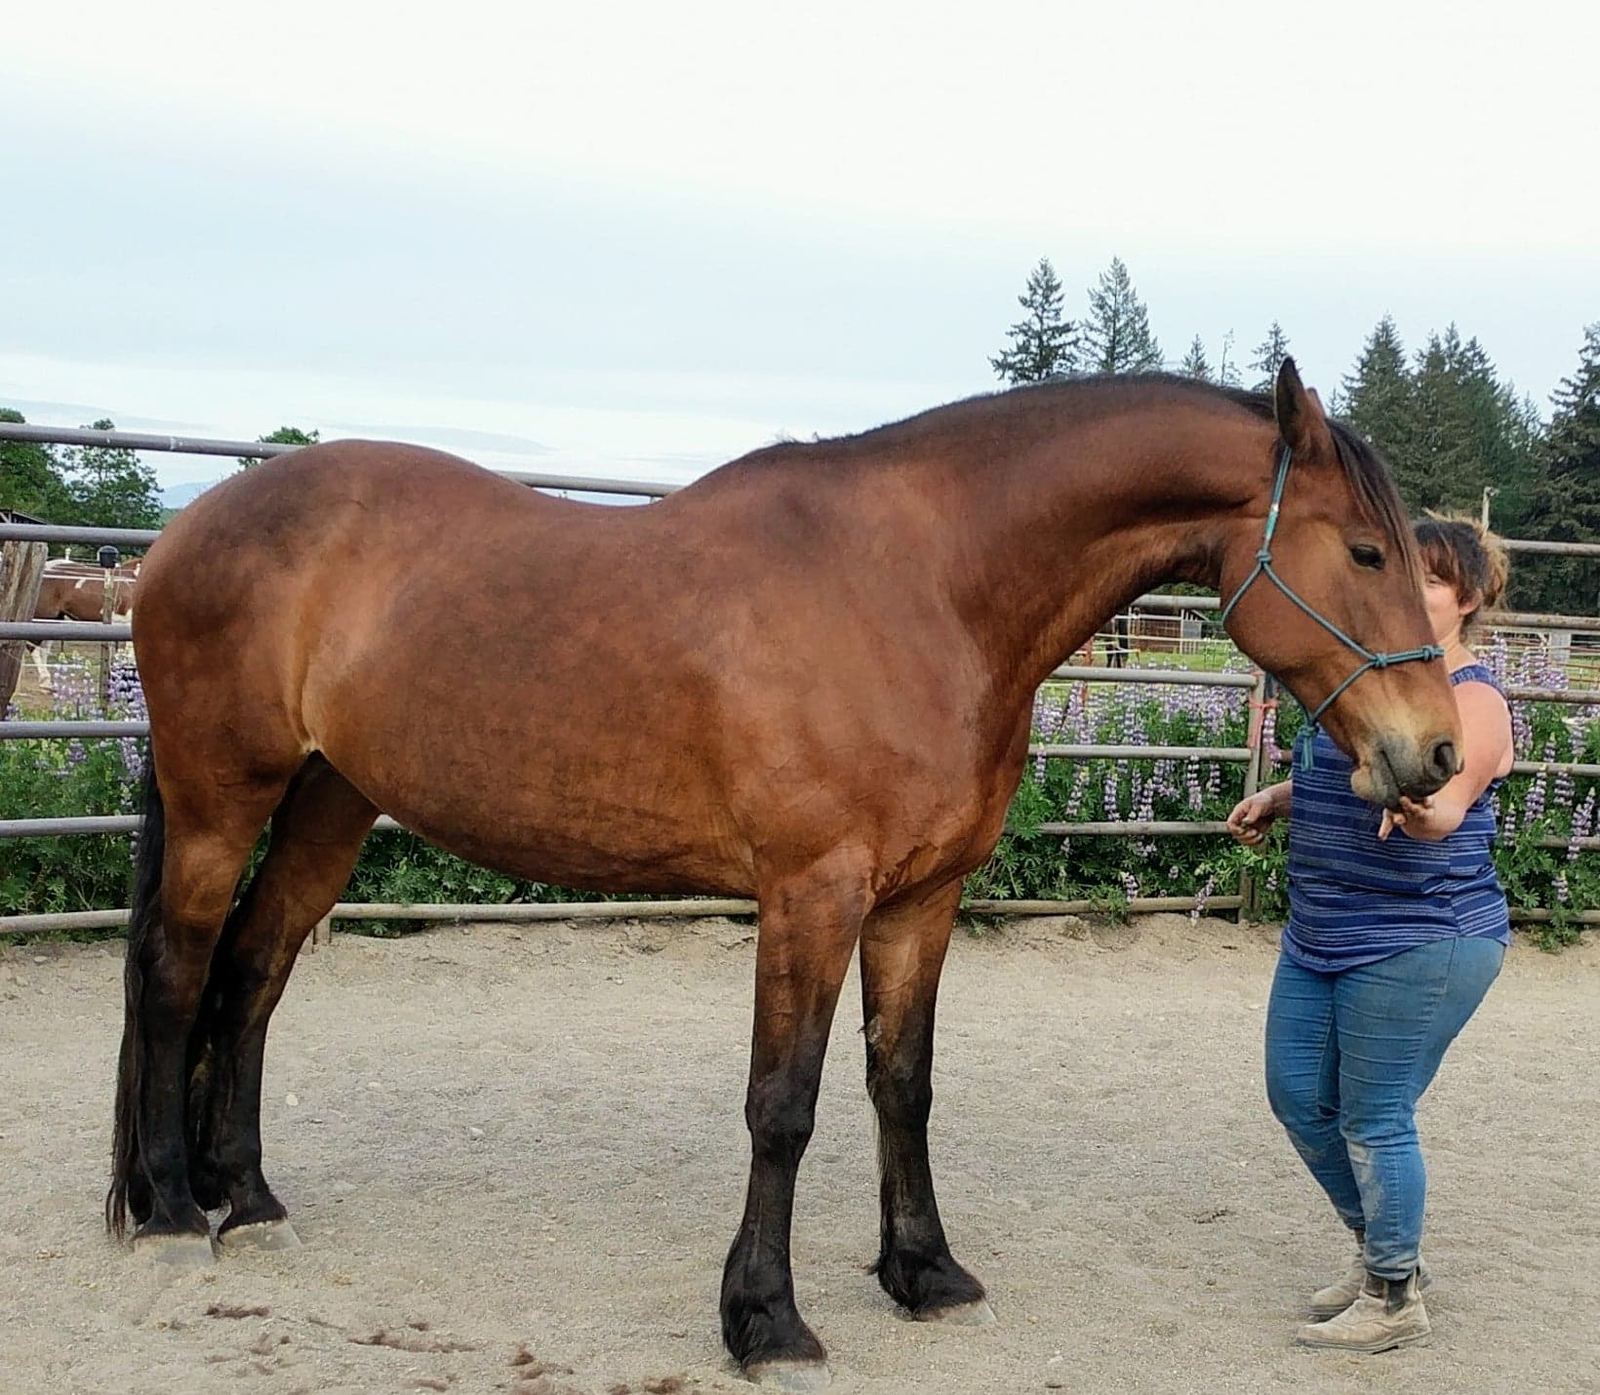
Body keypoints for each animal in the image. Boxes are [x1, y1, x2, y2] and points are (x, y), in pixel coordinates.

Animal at [110, 362, 1460, 1389]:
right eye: (1363, 552)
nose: (1438, 754)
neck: (927, 591)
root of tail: (184, 533)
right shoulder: (811, 894)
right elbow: (785, 1105)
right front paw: (763, 1319)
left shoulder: (919, 900)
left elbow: (901, 1085)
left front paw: (925, 1273)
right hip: (223, 800)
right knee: (176, 975)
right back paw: (172, 1214)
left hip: (328, 801)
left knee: (253, 974)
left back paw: (250, 1202)